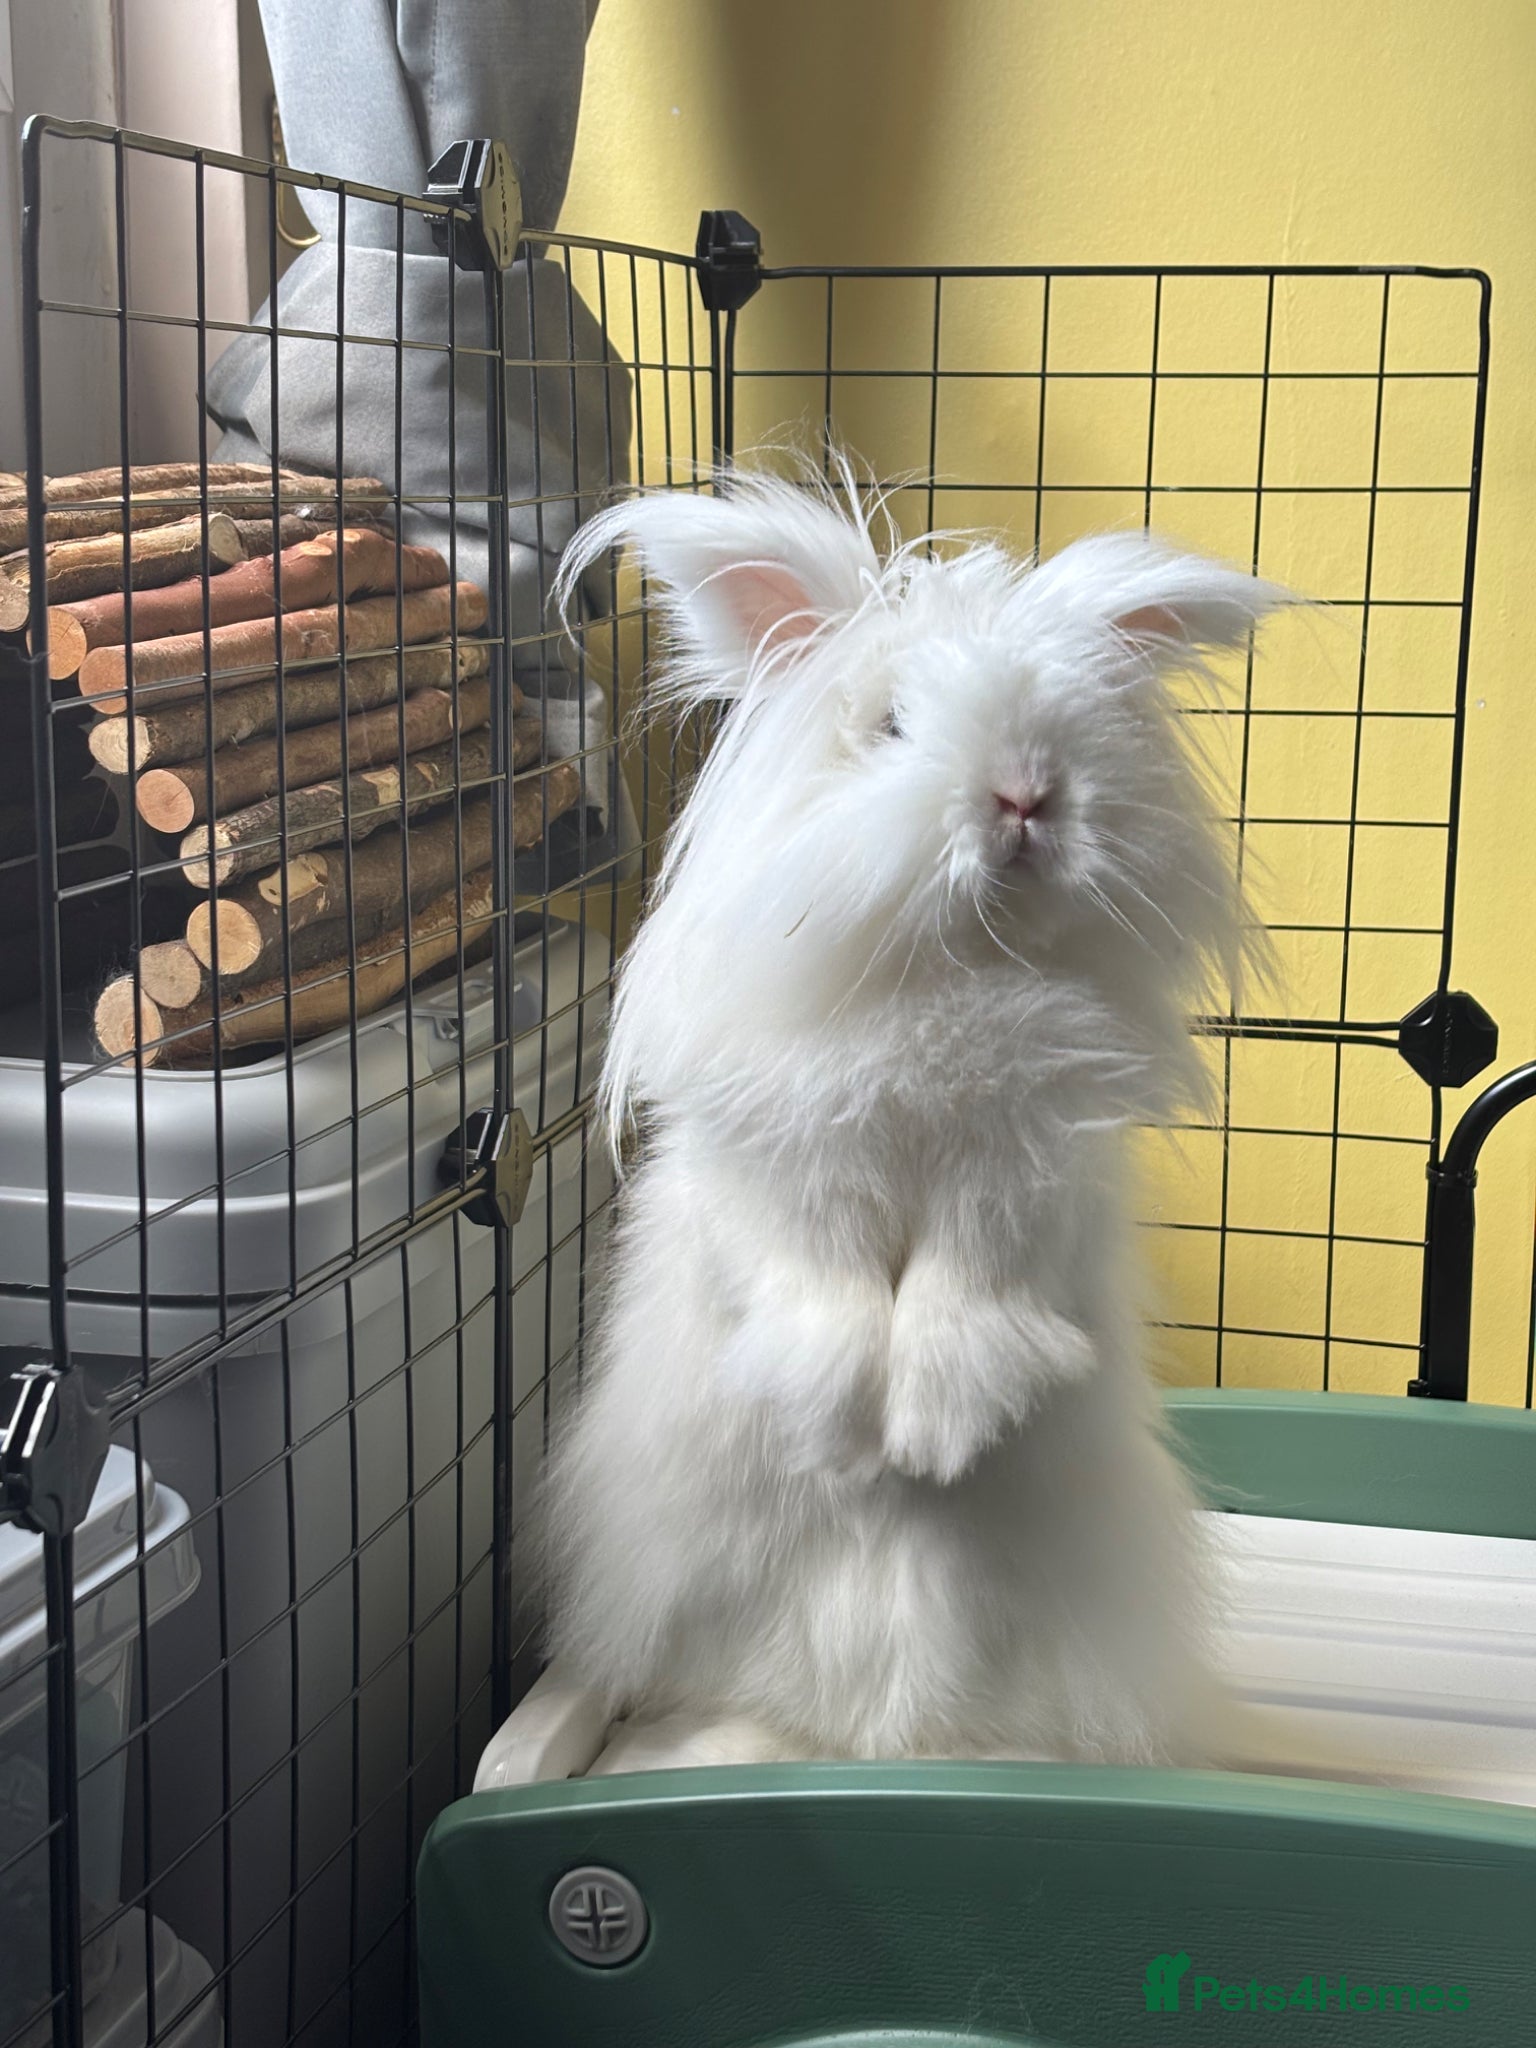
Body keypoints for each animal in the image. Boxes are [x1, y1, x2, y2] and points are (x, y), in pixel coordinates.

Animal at [539, 458, 1289, 1768]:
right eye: (887, 725)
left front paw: (930, 1438)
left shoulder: (1018, 1182)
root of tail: (861, 1737)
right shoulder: (794, 1172)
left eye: (1074, 729)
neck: (947, 972)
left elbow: (959, 1296)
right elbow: (830, 1296)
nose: (1026, 795)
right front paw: (851, 1442)